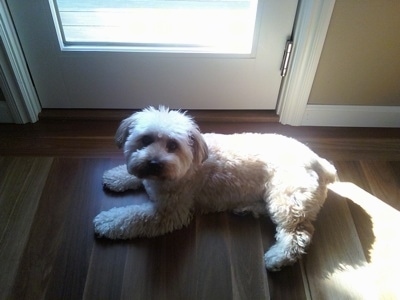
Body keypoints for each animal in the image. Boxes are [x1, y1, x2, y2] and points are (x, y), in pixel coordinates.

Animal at [94, 106, 338, 272]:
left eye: (172, 145)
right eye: (145, 139)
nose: (154, 163)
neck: (188, 163)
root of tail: (319, 162)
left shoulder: (168, 212)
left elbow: (133, 216)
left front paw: (107, 222)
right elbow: (133, 175)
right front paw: (117, 176)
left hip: (287, 199)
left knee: (297, 233)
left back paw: (278, 257)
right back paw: (246, 209)